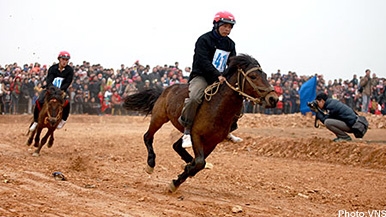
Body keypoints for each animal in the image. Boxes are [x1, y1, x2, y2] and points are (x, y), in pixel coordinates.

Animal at [123, 53, 278, 192]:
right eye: (253, 76)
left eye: (265, 75)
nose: (273, 99)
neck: (217, 107)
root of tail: (165, 90)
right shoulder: (197, 135)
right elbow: (199, 162)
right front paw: (178, 179)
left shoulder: (212, 142)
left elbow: (199, 163)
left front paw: (182, 175)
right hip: (159, 117)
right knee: (148, 137)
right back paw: (151, 164)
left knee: (177, 146)